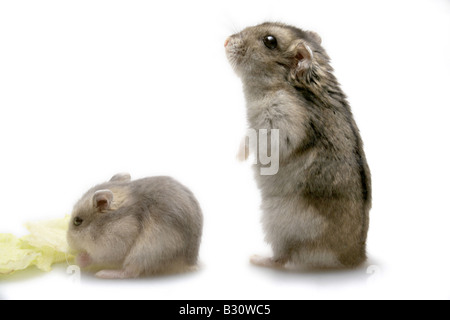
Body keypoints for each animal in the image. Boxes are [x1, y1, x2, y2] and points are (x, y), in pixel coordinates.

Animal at [67, 174, 204, 278]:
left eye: (77, 221)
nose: (69, 244)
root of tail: (190, 263)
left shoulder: (114, 245)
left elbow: (96, 257)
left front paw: (79, 259)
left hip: (146, 252)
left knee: (130, 272)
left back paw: (103, 273)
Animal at [225, 21, 372, 268]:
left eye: (270, 41)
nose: (226, 41)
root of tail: (356, 258)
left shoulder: (282, 121)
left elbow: (258, 139)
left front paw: (238, 156)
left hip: (278, 221)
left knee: (283, 258)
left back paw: (257, 259)